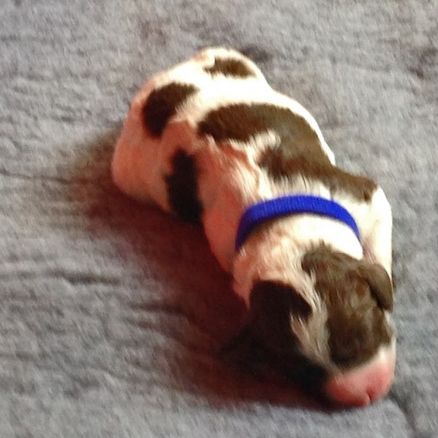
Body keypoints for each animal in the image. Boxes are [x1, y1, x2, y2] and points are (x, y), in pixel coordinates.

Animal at [112, 47, 395, 407]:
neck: (289, 229)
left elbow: (379, 249)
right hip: (128, 174)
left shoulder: (363, 198)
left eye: (361, 335)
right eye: (302, 371)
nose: (365, 394)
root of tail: (152, 92)